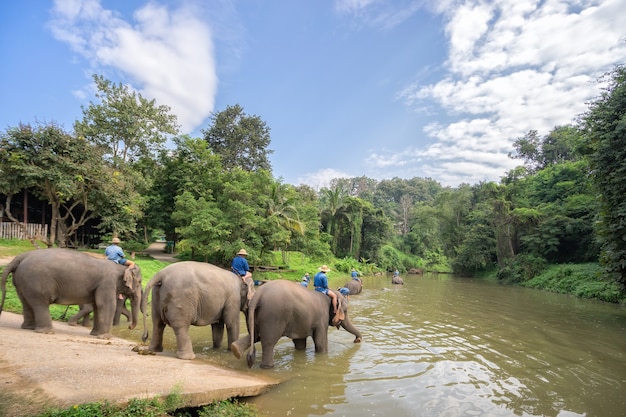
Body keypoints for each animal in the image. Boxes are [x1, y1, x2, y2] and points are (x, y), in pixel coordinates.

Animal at [0, 247, 144, 338]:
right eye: (140, 282)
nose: (130, 327)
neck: (119, 267)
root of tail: (21, 257)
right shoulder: (107, 283)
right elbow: (106, 305)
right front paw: (105, 338)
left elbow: (97, 306)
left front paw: (95, 335)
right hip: (36, 280)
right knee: (40, 304)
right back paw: (46, 332)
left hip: (21, 281)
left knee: (26, 302)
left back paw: (29, 328)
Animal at [229, 280, 360, 368]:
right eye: (346, 310)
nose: (357, 340)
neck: (330, 294)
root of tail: (258, 295)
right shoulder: (322, 318)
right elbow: (320, 342)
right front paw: (323, 355)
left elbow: (300, 342)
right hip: (273, 315)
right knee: (268, 342)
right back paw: (268, 367)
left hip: (255, 315)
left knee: (256, 335)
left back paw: (235, 349)